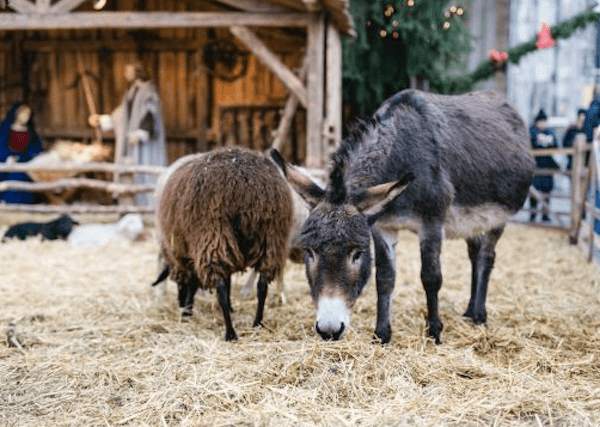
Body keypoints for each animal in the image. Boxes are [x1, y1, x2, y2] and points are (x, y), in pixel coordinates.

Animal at [152, 147, 292, 342]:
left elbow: (198, 283)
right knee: (262, 285)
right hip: (271, 238)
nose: (180, 304)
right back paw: (257, 324)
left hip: (214, 235)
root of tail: (247, 187)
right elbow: (229, 279)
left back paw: (230, 333)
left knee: (221, 289)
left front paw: (187, 312)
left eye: (176, 280)